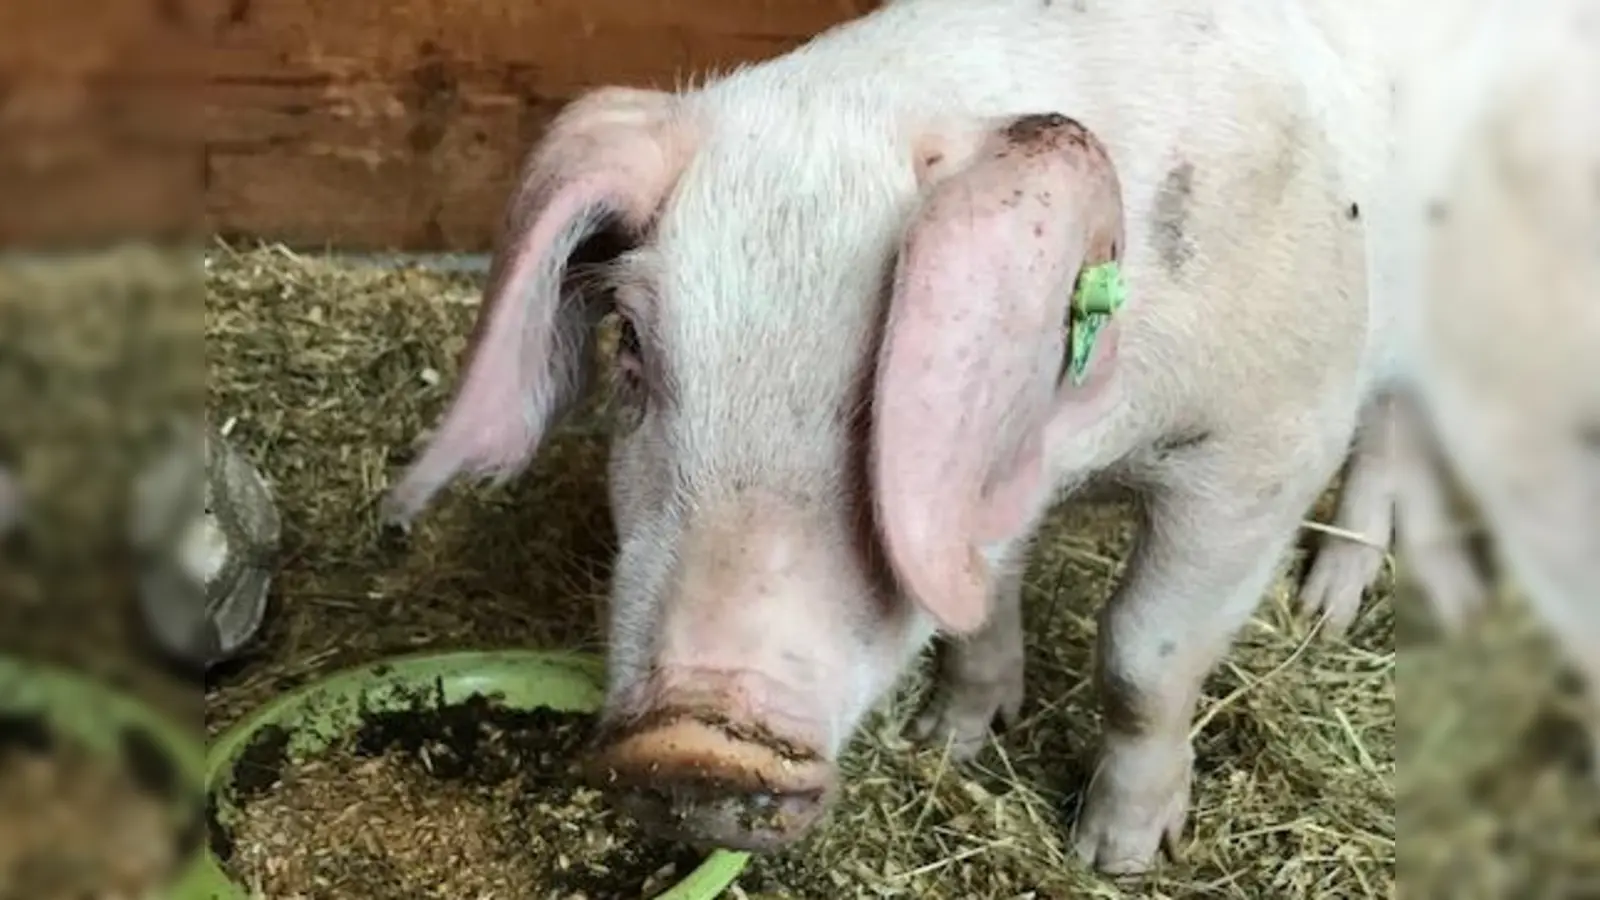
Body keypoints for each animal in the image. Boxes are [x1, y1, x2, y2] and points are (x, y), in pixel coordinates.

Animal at [384, 0, 1401, 871]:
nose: (692, 745)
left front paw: (1114, 858)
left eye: (881, 379)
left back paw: (1328, 605)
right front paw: (948, 743)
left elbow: (1143, 654)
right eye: (633, 343)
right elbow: (980, 603)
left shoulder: (1265, 447)